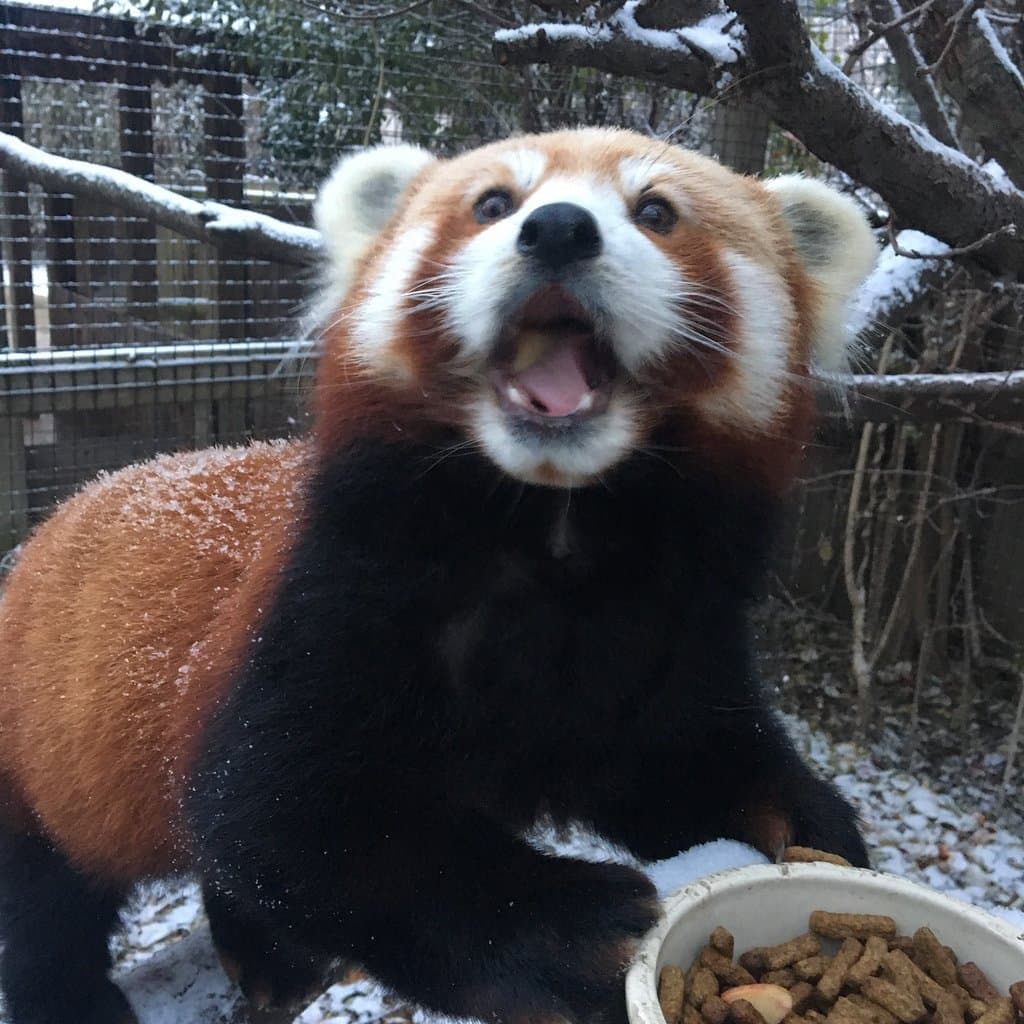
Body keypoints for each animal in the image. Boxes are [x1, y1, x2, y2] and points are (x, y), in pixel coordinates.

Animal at [0, 128, 877, 1024]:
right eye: (494, 203)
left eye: (657, 212)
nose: (558, 229)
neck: (556, 536)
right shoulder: (321, 603)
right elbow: (284, 816)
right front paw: (571, 930)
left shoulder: (666, 633)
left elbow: (681, 767)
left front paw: (815, 830)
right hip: (33, 735)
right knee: (48, 886)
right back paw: (69, 991)